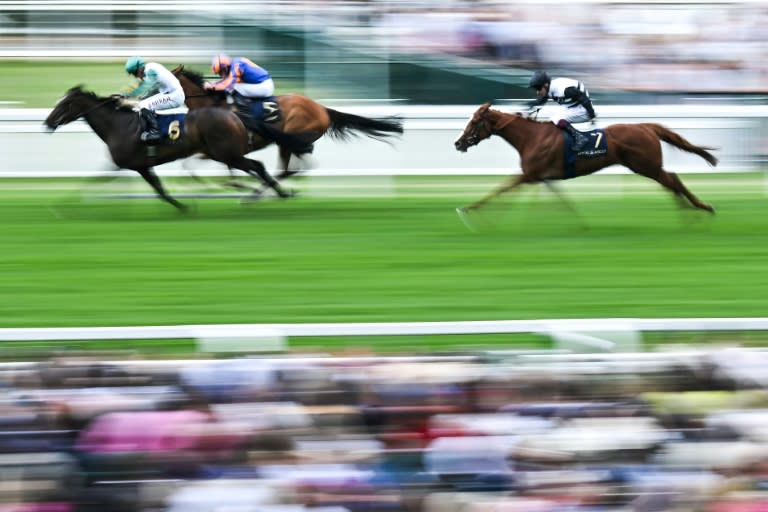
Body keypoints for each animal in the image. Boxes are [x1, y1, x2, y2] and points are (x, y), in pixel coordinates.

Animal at [44, 86, 294, 210]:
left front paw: (63, 204)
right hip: (223, 153)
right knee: (257, 167)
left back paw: (276, 193)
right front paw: (183, 205)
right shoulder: (137, 166)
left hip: (227, 153)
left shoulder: (129, 165)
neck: (118, 125)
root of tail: (233, 115)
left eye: (65, 104)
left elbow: (96, 179)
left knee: (257, 166)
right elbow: (159, 189)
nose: (47, 123)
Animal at [172, 64, 404, 192]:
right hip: (288, 142)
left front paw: (237, 185)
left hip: (291, 137)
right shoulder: (215, 149)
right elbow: (191, 164)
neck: (213, 105)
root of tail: (322, 108)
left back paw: (259, 194)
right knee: (289, 169)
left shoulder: (228, 147)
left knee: (290, 169)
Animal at [452, 103, 716, 217]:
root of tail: (646, 126)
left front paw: (468, 209)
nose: (458, 143)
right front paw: (579, 222)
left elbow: (501, 189)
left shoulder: (529, 175)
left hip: (646, 165)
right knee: (671, 183)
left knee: (673, 180)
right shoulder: (543, 178)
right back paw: (687, 209)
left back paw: (702, 207)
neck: (531, 137)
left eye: (474, 122)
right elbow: (562, 200)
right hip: (645, 166)